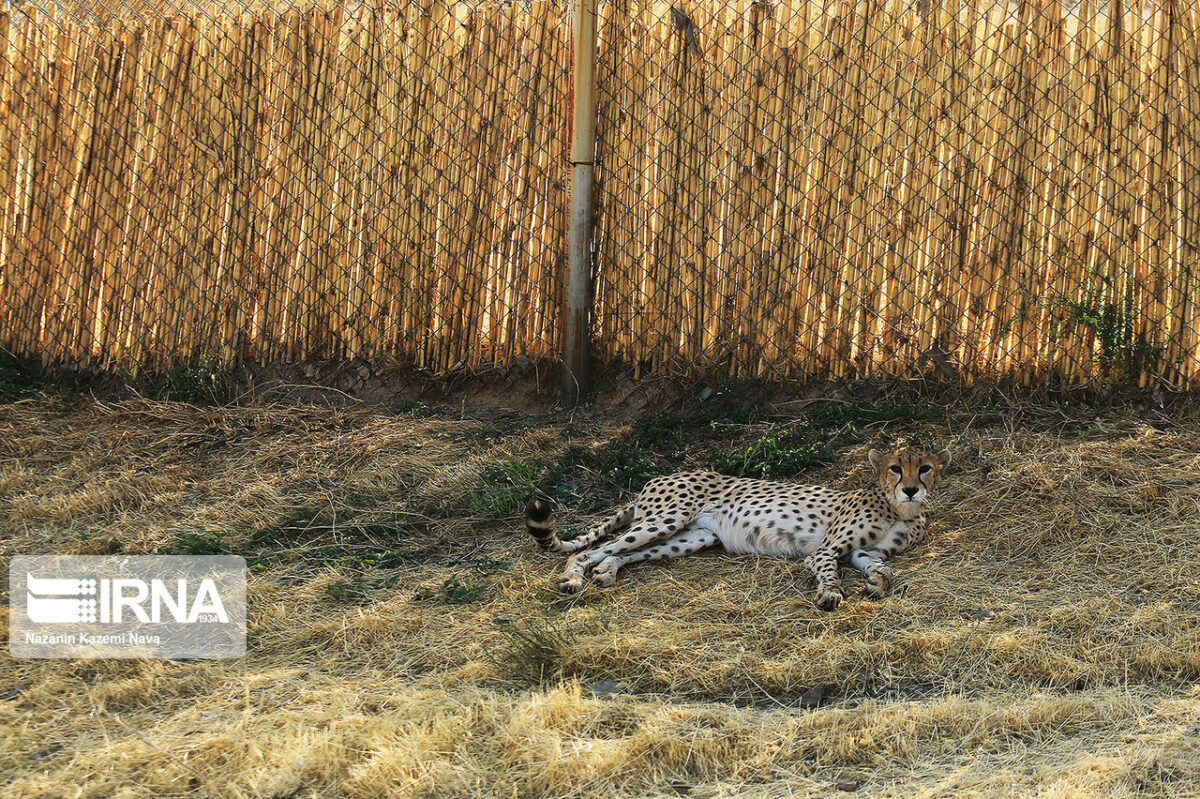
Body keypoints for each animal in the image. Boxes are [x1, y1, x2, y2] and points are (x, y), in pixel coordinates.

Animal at [526, 446, 951, 610]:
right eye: (895, 468)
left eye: (925, 468)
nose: (911, 488)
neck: (899, 508)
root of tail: (660, 476)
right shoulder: (825, 550)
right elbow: (830, 569)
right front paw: (831, 593)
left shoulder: (866, 551)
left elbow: (884, 567)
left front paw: (877, 583)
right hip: (665, 519)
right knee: (591, 549)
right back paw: (573, 579)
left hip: (688, 537)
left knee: (620, 554)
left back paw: (606, 573)